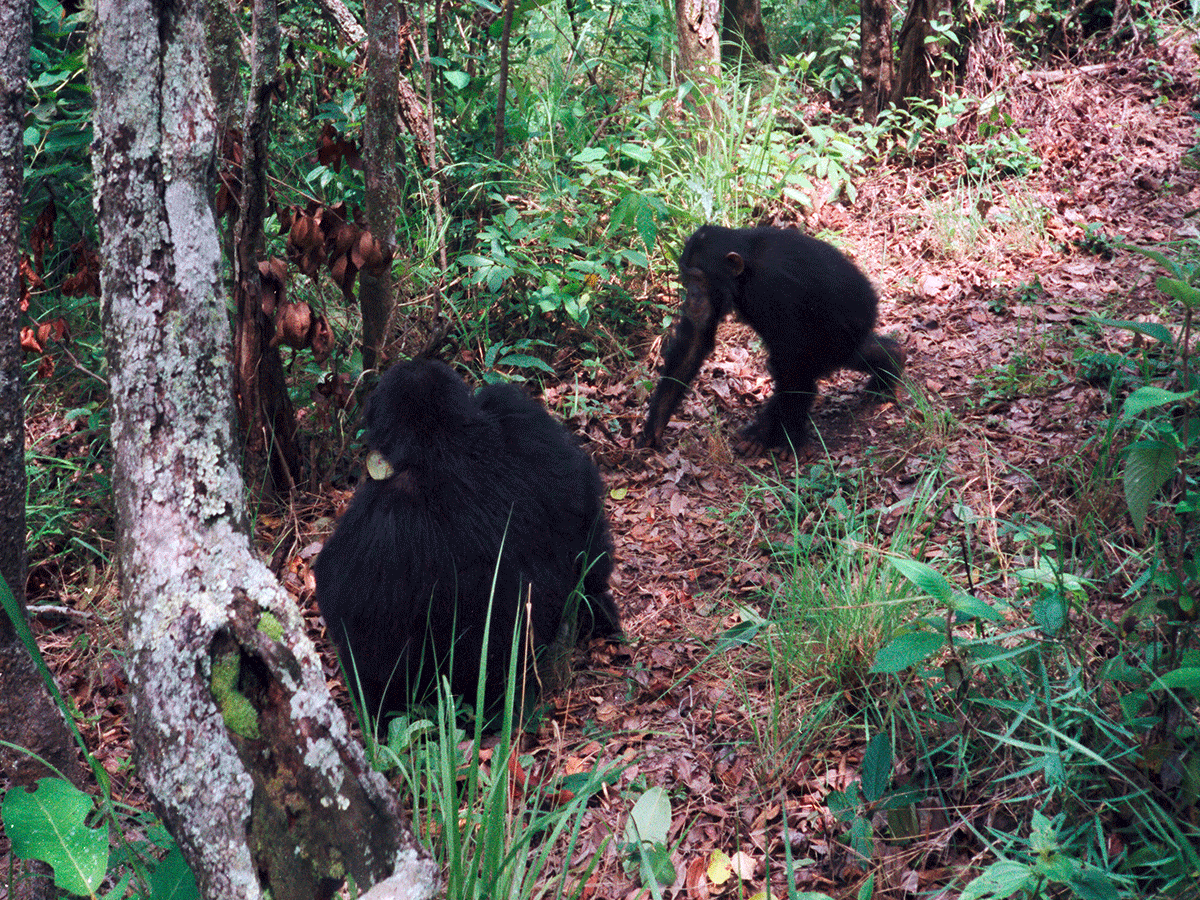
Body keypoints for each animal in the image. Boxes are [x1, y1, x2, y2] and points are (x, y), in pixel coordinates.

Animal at [638, 223, 902, 453]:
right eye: (686, 276)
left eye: (699, 278)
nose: (691, 295)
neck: (746, 273)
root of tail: (872, 298)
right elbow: (696, 337)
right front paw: (655, 425)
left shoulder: (775, 287)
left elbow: (792, 359)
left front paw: (778, 435)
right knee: (853, 355)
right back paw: (891, 362)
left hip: (842, 332)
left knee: (797, 371)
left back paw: (776, 434)